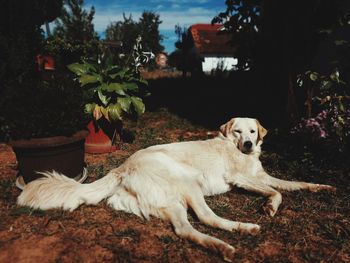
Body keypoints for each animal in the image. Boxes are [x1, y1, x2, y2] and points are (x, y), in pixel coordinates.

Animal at [17, 117, 334, 262]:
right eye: (237, 131)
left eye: (253, 131)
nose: (248, 144)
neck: (239, 152)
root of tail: (123, 167)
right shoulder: (239, 178)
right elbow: (277, 192)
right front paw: (269, 207)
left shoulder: (263, 175)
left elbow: (293, 184)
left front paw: (322, 187)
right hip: (188, 183)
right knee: (206, 218)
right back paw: (241, 231)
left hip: (172, 203)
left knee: (185, 230)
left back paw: (221, 245)